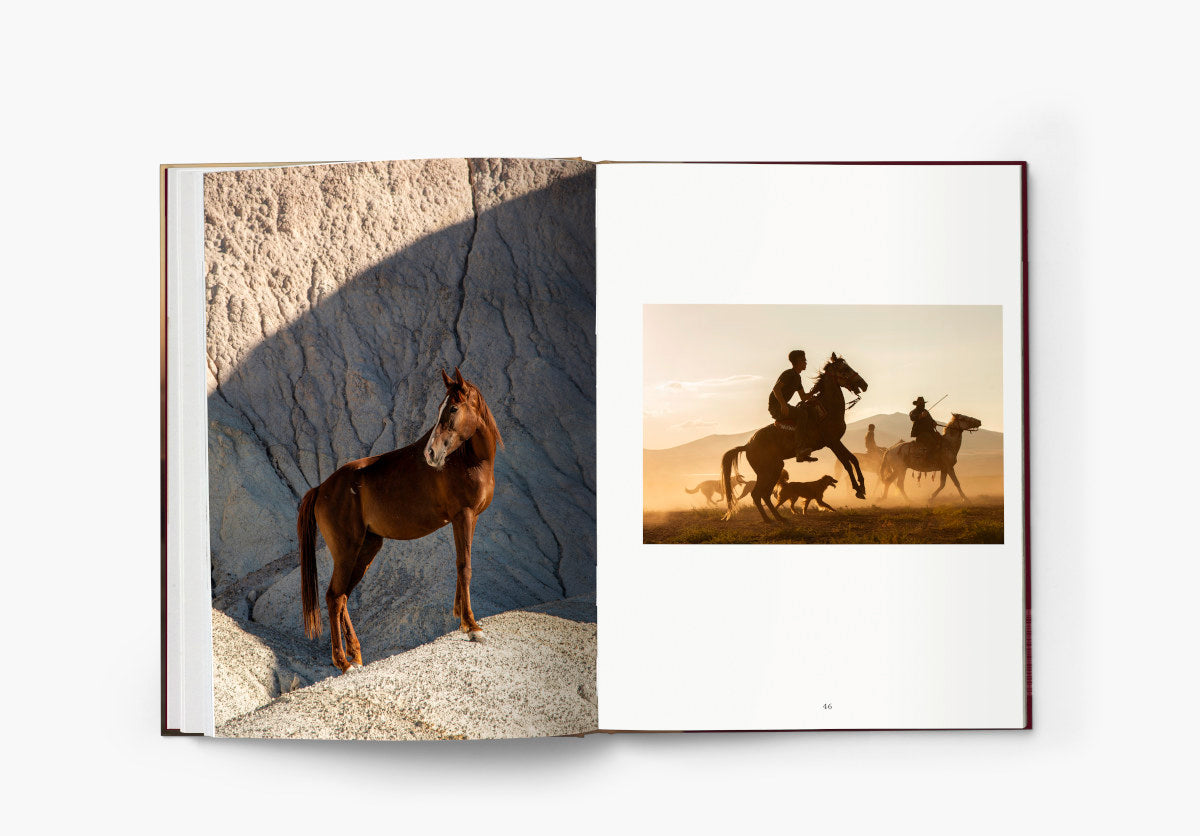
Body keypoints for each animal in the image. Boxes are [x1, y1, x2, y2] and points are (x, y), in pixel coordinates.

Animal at [297, 368, 503, 672]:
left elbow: (461, 564)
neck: (469, 460)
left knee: (343, 596)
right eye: (441, 408)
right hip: (347, 551)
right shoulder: (462, 516)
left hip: (367, 548)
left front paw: (461, 618)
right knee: (334, 597)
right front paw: (472, 626)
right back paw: (344, 663)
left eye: (452, 408)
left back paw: (356, 656)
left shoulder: (470, 518)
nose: (431, 454)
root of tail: (322, 487)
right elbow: (464, 566)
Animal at [721, 353, 868, 522]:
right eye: (844, 369)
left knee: (764, 494)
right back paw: (770, 519)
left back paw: (778, 518)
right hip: (767, 471)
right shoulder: (832, 442)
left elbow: (854, 459)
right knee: (757, 494)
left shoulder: (838, 441)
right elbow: (847, 463)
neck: (827, 410)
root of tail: (747, 445)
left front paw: (862, 487)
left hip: (774, 469)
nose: (864, 384)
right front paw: (857, 490)